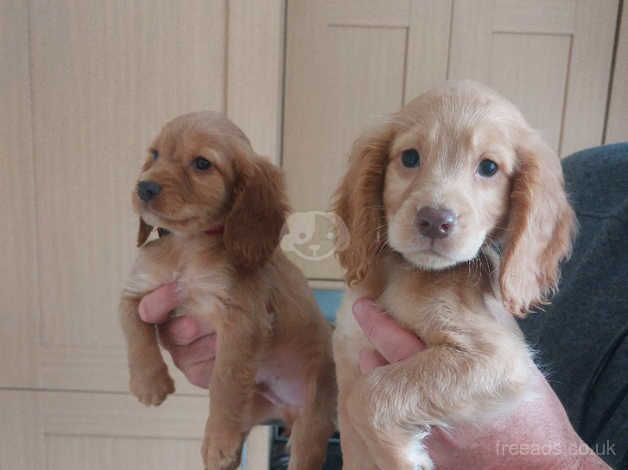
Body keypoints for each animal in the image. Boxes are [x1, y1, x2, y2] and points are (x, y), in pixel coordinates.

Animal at [117, 112, 334, 468]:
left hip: (311, 425)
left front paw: (218, 439)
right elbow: (136, 332)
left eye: (202, 163)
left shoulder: (242, 322)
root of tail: (285, 410)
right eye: (155, 155)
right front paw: (149, 382)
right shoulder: (137, 290)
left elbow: (225, 384)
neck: (186, 246)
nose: (143, 187)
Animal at [332, 79, 576, 468]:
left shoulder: (501, 357)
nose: (434, 220)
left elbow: (373, 394)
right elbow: (353, 420)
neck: (401, 275)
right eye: (410, 158)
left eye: (489, 167)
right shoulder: (347, 354)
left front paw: (406, 458)